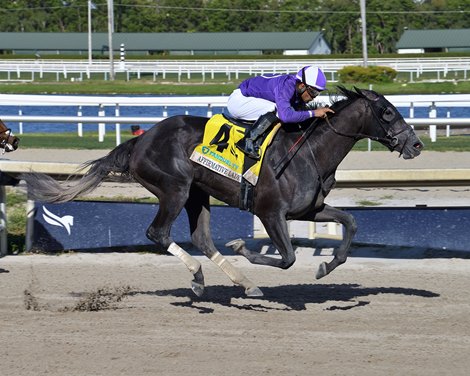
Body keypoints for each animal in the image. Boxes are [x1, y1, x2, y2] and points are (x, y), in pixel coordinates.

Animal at [22, 87, 424, 296]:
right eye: (388, 113)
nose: (416, 144)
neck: (310, 152)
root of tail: (139, 141)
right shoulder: (270, 212)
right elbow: (287, 257)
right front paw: (244, 247)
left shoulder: (307, 210)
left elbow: (351, 222)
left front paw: (328, 265)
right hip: (175, 188)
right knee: (158, 233)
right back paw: (200, 278)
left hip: (197, 194)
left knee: (201, 238)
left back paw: (243, 284)